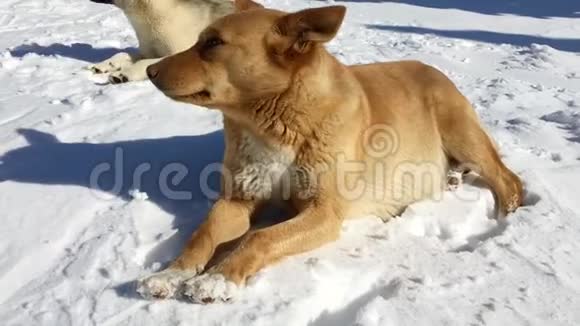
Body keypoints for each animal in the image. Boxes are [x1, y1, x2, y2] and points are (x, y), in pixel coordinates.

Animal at [138, 0, 524, 304]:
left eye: (214, 43)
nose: (149, 70)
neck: (272, 123)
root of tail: (431, 68)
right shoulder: (238, 198)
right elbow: (202, 233)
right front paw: (173, 273)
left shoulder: (324, 213)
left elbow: (260, 237)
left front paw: (219, 278)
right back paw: (454, 177)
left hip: (460, 132)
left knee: (509, 179)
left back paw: (507, 213)